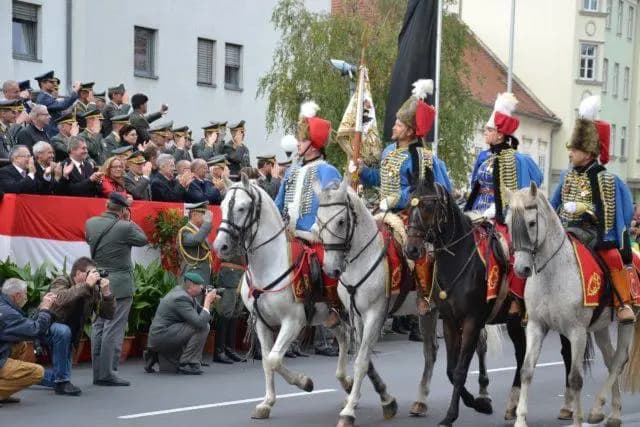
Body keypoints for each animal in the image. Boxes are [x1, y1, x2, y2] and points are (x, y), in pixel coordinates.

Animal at [212, 176, 398, 422]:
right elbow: (266, 361)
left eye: (242, 208)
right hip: (330, 315)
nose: (220, 246)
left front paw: (304, 382)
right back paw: (348, 385)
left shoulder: (293, 321)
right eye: (223, 206)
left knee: (348, 340)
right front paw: (267, 402)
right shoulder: (261, 322)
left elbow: (273, 359)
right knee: (344, 337)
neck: (270, 264)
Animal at [318, 177, 492, 427]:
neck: (364, 257)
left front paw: (349, 411)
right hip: (429, 312)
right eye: (318, 220)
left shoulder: (375, 314)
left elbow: (362, 361)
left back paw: (484, 393)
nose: (331, 269)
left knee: (481, 344)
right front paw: (384, 399)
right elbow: (364, 358)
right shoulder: (356, 317)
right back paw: (420, 401)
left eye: (341, 221)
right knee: (431, 351)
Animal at [504, 183, 640, 427]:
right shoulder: (536, 326)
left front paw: (576, 419)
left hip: (628, 321)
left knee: (618, 361)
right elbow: (526, 370)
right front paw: (520, 419)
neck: (553, 273)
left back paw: (598, 408)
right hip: (601, 326)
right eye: (508, 224)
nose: (521, 269)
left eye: (531, 223)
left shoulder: (577, 332)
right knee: (610, 359)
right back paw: (612, 412)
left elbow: (575, 378)